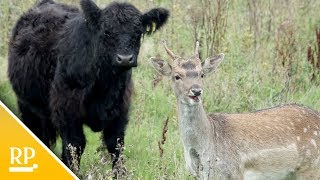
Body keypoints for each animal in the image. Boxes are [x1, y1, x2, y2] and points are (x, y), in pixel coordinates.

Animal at [7, 0, 169, 170]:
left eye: (138, 32)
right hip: (27, 106)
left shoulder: (120, 111)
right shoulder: (67, 111)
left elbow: (116, 146)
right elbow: (75, 146)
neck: (105, 84)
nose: (125, 59)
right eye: (106, 32)